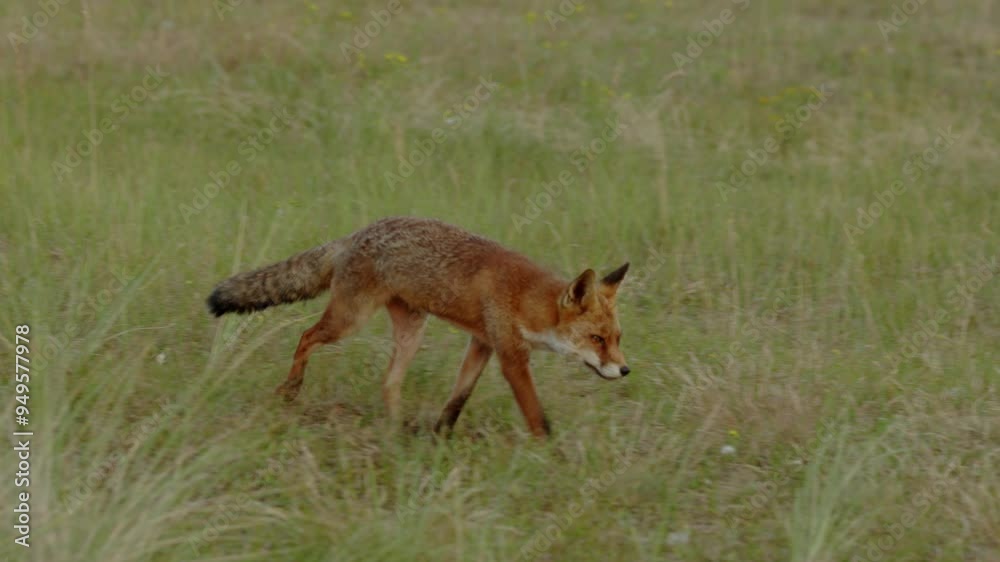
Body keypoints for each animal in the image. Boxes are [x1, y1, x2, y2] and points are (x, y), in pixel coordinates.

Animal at [206, 216, 631, 437]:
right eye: (596, 339)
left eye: (616, 338)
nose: (625, 370)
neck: (525, 299)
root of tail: (356, 234)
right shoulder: (511, 356)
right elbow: (537, 416)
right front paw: (553, 455)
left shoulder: (482, 343)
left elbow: (458, 398)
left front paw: (440, 436)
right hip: (349, 320)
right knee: (306, 337)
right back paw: (292, 388)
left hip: (411, 332)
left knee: (388, 383)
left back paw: (396, 433)